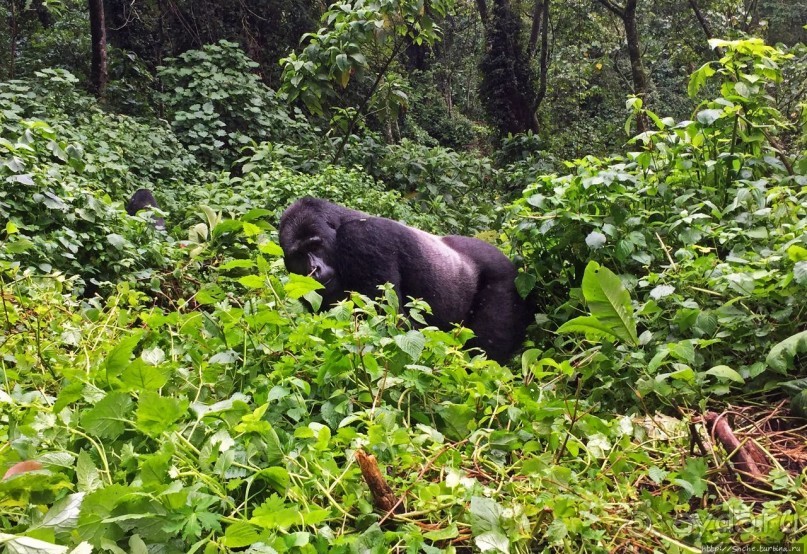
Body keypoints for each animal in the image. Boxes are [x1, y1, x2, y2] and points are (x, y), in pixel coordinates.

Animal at [278, 196, 532, 360]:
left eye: (315, 245)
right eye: (298, 255)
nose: (314, 269)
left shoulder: (363, 240)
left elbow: (387, 325)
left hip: (506, 279)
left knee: (486, 351)